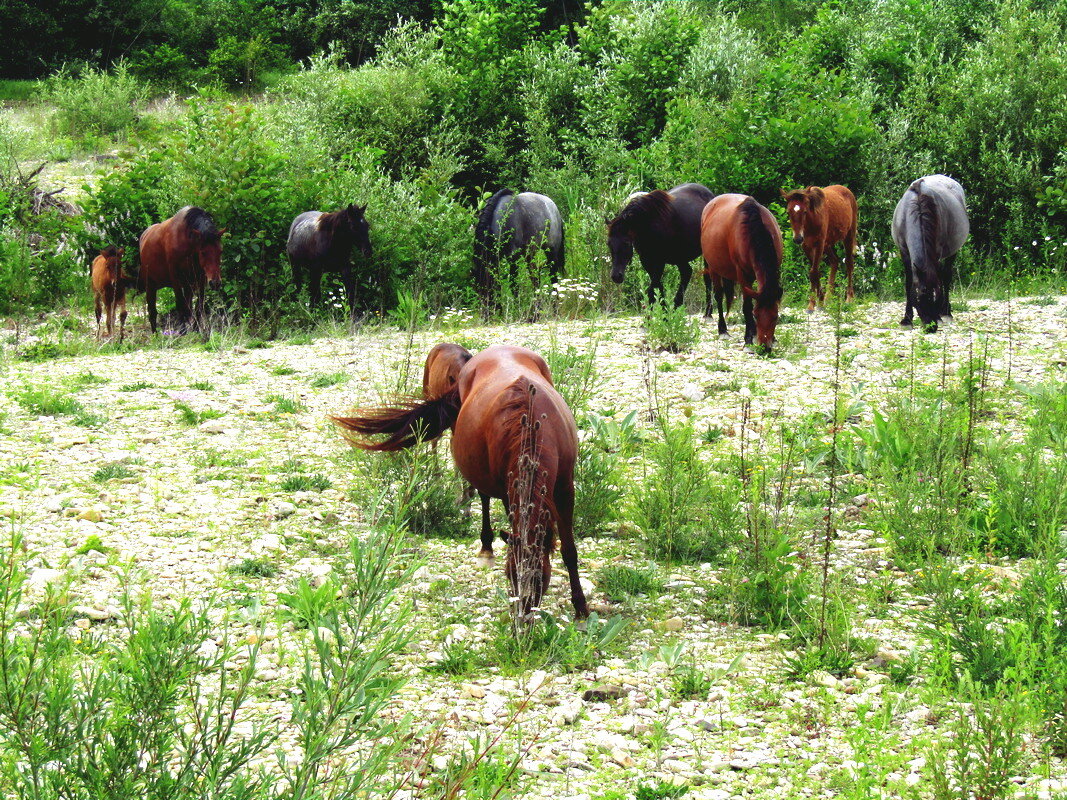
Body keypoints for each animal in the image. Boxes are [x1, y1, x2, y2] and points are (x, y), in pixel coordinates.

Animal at [330, 345, 588, 618]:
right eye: (510, 575)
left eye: (540, 577)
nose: (522, 618)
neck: (530, 422)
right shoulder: (510, 490)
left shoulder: (565, 488)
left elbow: (569, 550)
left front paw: (581, 607)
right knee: (483, 497)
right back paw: (486, 547)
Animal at [610, 184, 717, 313]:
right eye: (609, 243)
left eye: (626, 242)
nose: (616, 276)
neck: (648, 224)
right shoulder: (646, 260)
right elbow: (657, 286)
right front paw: (664, 310)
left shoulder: (659, 261)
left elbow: (652, 288)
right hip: (680, 256)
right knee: (686, 272)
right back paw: (676, 305)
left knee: (707, 278)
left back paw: (708, 311)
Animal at [699, 194, 785, 349]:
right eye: (756, 315)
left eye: (775, 316)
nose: (765, 348)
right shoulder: (743, 275)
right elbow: (747, 306)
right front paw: (748, 339)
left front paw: (772, 338)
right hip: (714, 268)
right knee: (719, 296)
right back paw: (722, 330)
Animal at [887, 173, 973, 330]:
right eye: (919, 298)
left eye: (935, 298)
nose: (931, 327)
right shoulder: (904, 252)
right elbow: (908, 282)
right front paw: (907, 319)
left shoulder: (937, 253)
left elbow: (940, 279)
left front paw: (939, 315)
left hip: (952, 251)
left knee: (946, 276)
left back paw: (946, 313)